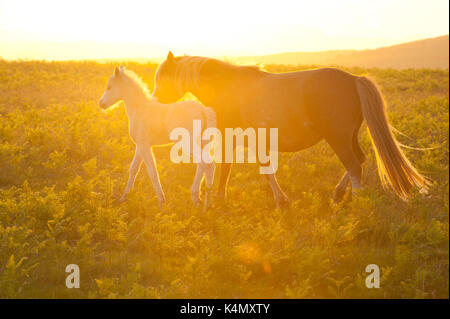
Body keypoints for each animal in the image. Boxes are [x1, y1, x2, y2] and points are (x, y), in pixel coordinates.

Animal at [99, 65, 218, 211]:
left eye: (109, 87)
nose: (101, 104)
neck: (140, 109)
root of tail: (203, 110)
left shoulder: (144, 146)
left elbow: (152, 171)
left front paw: (161, 202)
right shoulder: (141, 146)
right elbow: (133, 169)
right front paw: (123, 197)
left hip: (188, 143)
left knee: (202, 162)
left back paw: (196, 197)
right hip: (203, 142)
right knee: (209, 165)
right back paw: (208, 203)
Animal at [153, 52, 430, 208]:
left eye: (161, 78)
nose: (155, 99)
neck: (227, 87)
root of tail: (353, 80)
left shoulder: (230, 138)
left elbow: (228, 169)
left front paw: (221, 199)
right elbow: (265, 170)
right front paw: (278, 200)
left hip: (338, 138)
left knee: (354, 165)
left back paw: (356, 202)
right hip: (349, 137)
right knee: (358, 161)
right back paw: (338, 194)